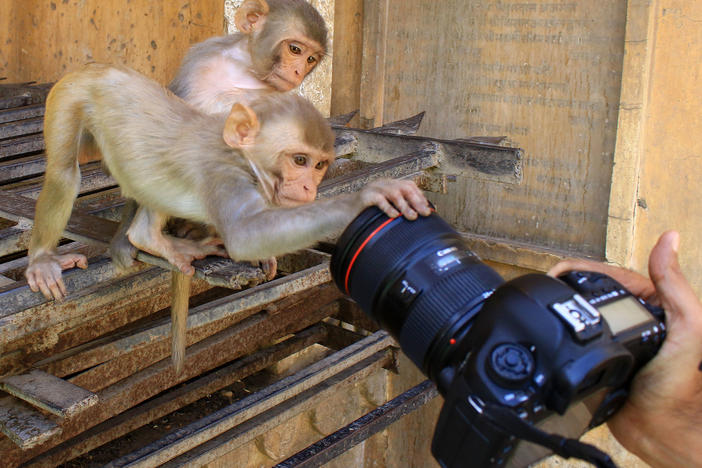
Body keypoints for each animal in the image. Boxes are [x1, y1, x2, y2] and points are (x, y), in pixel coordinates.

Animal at [26, 65, 428, 372]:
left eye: (319, 166)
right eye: (299, 160)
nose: (308, 187)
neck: (246, 160)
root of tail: (99, 70)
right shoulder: (224, 175)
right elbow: (242, 234)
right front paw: (362, 199)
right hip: (70, 94)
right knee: (65, 173)